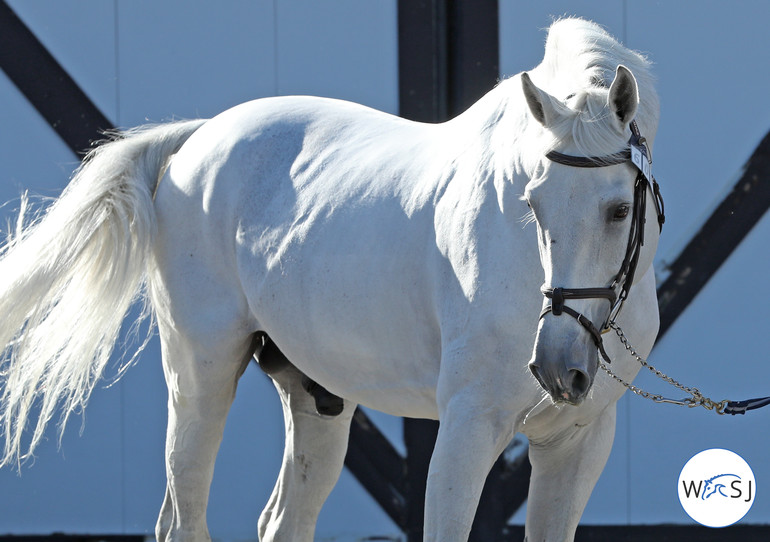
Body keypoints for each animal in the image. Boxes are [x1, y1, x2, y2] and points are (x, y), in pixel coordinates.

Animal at [0, 18, 660, 542]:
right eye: (532, 205)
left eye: (617, 210)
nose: (558, 367)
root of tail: (198, 140)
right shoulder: (468, 429)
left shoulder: (576, 442)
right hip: (197, 378)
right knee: (183, 518)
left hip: (315, 397)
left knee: (281, 523)